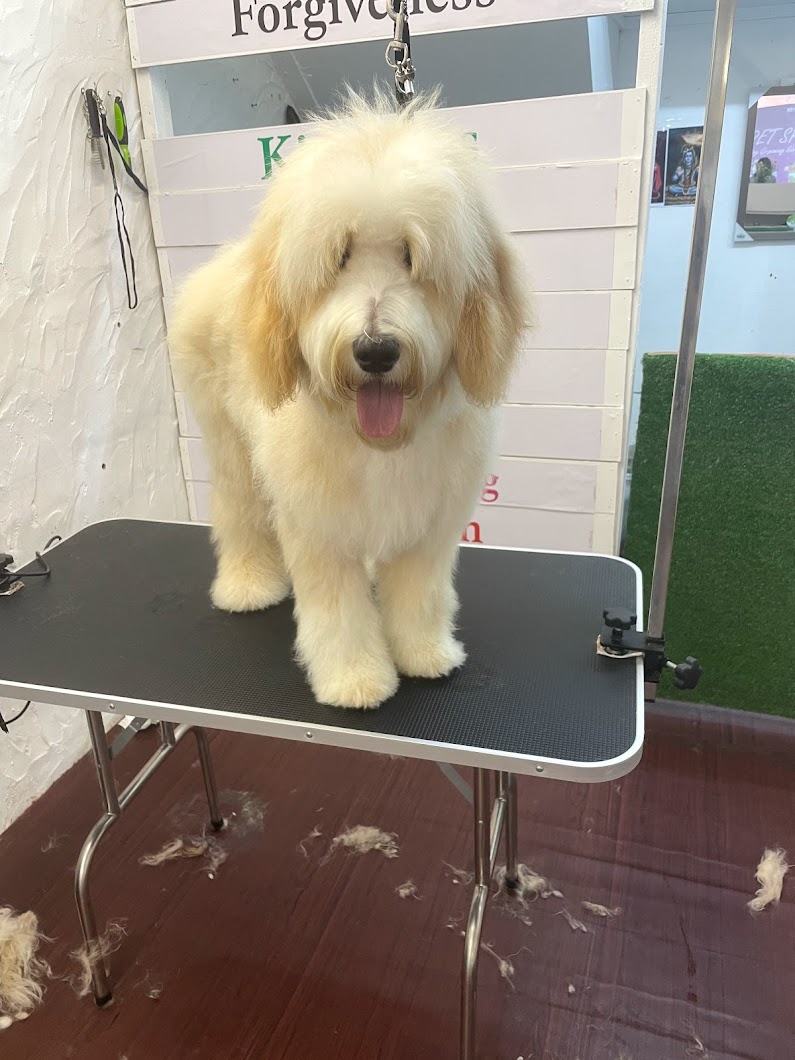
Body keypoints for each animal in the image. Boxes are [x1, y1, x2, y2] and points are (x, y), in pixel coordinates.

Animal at [170, 91, 529, 709]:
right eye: (339, 255)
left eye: (411, 255)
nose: (376, 350)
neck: (377, 443)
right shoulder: (319, 525)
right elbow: (337, 610)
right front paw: (355, 679)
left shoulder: (431, 522)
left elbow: (418, 592)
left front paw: (424, 654)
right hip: (230, 442)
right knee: (239, 513)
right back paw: (248, 584)